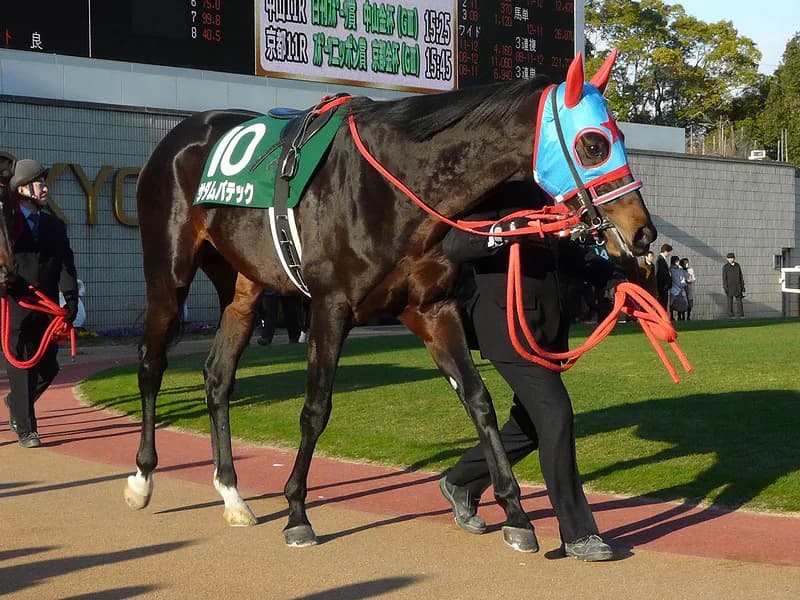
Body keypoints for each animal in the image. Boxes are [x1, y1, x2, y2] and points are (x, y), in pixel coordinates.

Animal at [123, 51, 657, 550]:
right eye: (594, 143)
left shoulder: (431, 309)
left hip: (243, 288)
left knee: (217, 377)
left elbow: (478, 400)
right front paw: (296, 511)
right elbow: (316, 408)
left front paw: (516, 514)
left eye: (620, 137)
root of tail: (180, 136)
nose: (643, 233)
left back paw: (233, 495)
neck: (393, 185)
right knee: (151, 364)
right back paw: (143, 478)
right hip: (168, 274)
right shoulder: (329, 307)